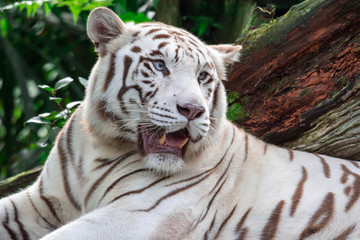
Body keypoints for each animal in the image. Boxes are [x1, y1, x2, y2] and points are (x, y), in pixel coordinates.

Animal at [0, 6, 360, 239]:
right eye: (159, 65)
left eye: (203, 77)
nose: (193, 110)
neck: (101, 146)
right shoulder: (42, 201)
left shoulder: (138, 214)